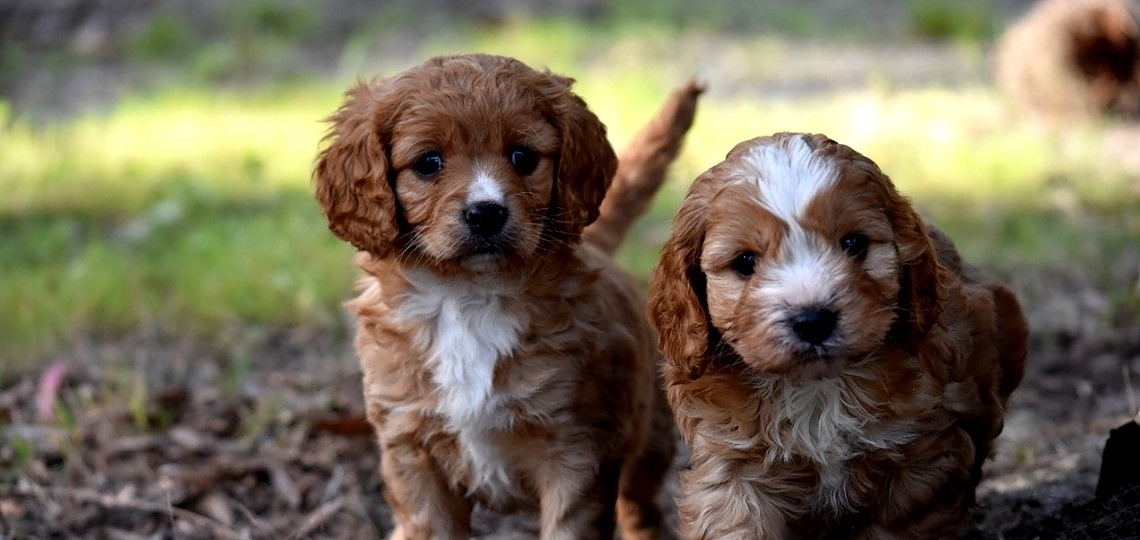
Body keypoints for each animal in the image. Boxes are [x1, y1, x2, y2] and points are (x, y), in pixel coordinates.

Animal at [314, 51, 702, 540]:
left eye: (522, 156)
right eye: (428, 162)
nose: (485, 213)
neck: (467, 296)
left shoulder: (576, 451)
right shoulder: (412, 449)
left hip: (649, 433)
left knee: (641, 503)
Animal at [647, 131, 1030, 540]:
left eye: (853, 244)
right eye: (745, 262)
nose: (813, 319)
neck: (817, 389)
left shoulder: (919, 464)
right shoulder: (732, 465)